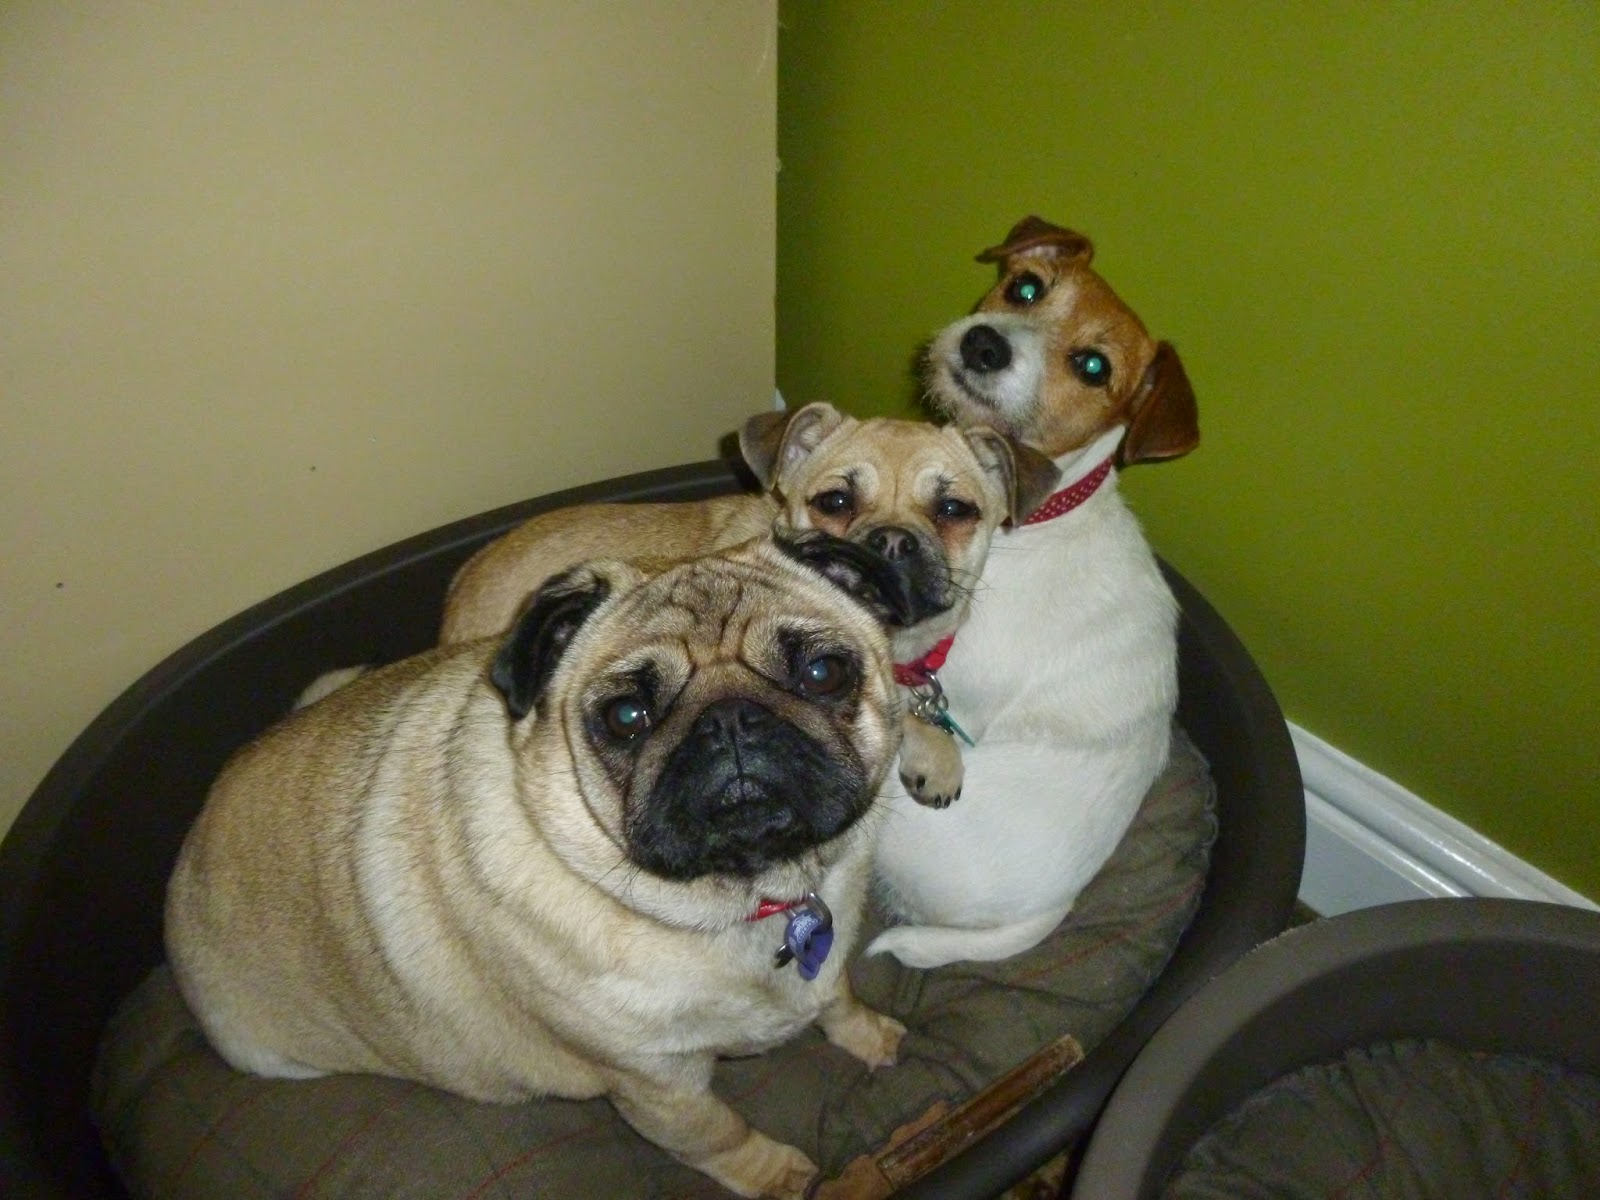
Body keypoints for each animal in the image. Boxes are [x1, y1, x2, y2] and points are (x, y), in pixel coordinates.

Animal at [166, 534, 914, 1200]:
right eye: (626, 716)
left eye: (822, 673)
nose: (729, 719)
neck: (752, 894)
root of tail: (192, 840)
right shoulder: (657, 1087)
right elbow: (719, 1133)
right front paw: (779, 1176)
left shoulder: (823, 968)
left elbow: (839, 998)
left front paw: (873, 1036)